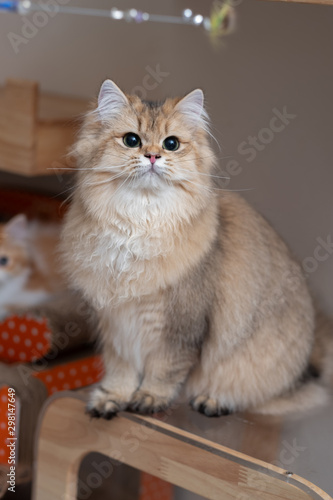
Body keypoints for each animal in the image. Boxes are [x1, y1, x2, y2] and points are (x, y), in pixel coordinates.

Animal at [60, 81, 332, 418]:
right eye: (132, 140)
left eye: (171, 144)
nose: (153, 156)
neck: (140, 224)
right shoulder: (117, 325)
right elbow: (121, 371)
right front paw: (113, 398)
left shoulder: (179, 328)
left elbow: (164, 370)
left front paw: (149, 398)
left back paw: (213, 401)